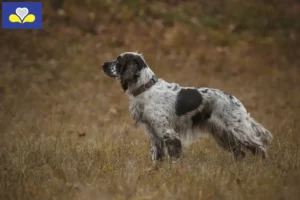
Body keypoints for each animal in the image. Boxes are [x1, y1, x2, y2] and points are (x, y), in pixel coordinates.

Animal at [102, 52, 274, 162]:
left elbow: (174, 156)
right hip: (223, 134)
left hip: (238, 130)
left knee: (259, 148)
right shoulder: (153, 133)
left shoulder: (168, 132)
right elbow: (156, 156)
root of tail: (236, 100)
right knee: (241, 153)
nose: (103, 64)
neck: (146, 88)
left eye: (119, 61)